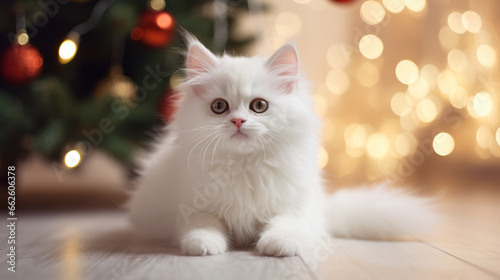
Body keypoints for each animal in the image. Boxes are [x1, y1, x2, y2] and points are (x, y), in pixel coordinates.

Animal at [129, 36, 438, 256]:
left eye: (259, 106)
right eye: (219, 107)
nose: (238, 121)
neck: (245, 166)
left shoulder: (293, 207)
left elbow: (285, 225)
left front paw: (278, 245)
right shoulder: (193, 205)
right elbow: (202, 226)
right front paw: (203, 245)